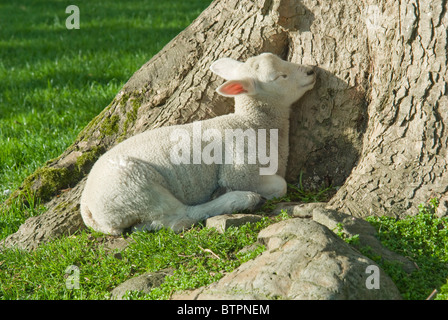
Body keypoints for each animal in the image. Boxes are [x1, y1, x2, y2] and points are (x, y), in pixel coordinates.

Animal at [79, 53, 316, 235]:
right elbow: (281, 185)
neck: (252, 123)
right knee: (180, 217)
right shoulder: (240, 172)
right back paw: (241, 199)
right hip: (137, 187)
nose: (312, 71)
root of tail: (88, 209)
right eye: (280, 76)